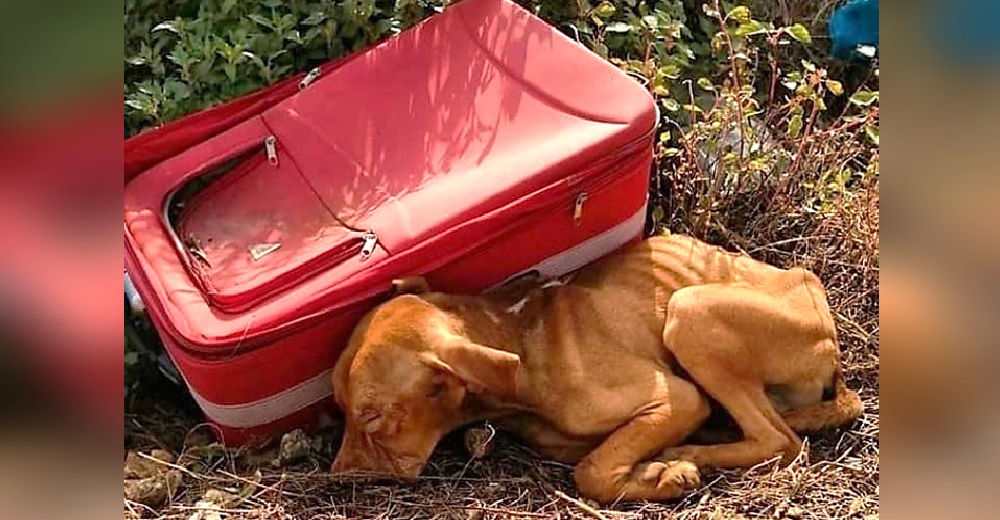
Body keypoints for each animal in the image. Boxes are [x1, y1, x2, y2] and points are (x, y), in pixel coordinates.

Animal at [328, 234, 860, 502]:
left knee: (781, 442)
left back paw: (692, 451)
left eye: (373, 416)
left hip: (689, 311)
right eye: (339, 409)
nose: (335, 477)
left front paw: (664, 474)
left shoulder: (676, 397)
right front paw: (654, 474)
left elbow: (591, 471)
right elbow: (596, 460)